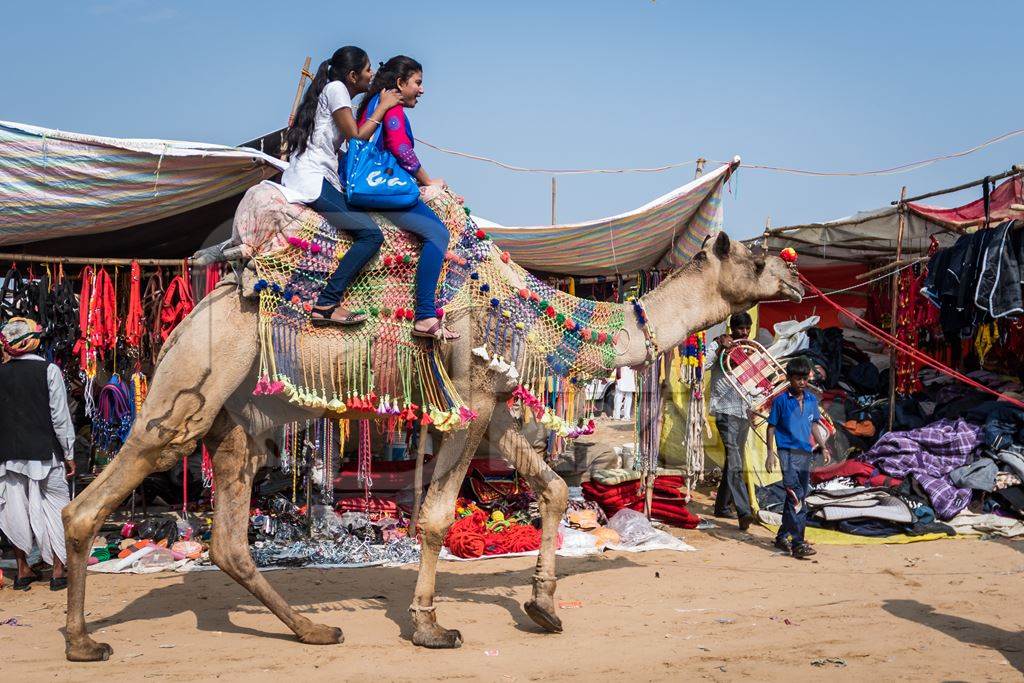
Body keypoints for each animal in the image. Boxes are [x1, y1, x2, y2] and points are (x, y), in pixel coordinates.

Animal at [59, 229, 802, 663]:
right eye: (759, 257)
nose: (796, 282)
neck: (534, 316)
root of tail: (187, 320)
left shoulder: (494, 403)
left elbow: (552, 487)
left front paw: (542, 606)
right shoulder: (468, 398)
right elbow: (439, 516)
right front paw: (430, 626)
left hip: (239, 418)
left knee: (230, 541)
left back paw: (313, 631)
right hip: (193, 387)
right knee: (99, 494)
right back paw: (83, 639)